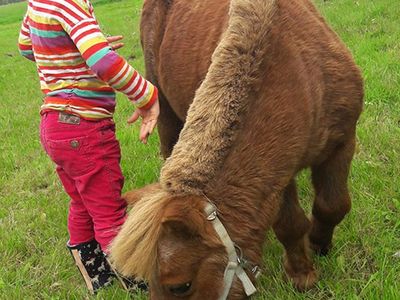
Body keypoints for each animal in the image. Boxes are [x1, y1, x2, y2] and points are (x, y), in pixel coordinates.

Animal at [108, 0, 362, 298]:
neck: (299, 74)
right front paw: (302, 273)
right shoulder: (277, 175)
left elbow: (332, 205)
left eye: (180, 286)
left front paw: (319, 246)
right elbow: (290, 224)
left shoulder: (342, 141)